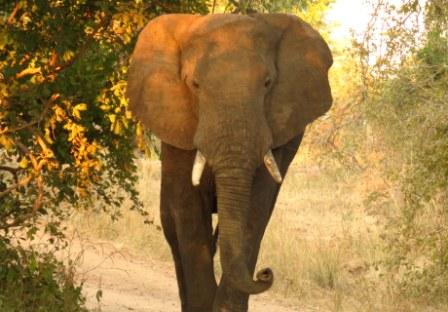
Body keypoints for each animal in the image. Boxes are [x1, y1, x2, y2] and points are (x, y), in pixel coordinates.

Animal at [128, 12, 330, 312]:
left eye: (268, 83)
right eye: (194, 84)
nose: (266, 273)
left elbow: (255, 212)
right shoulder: (179, 130)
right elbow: (188, 211)